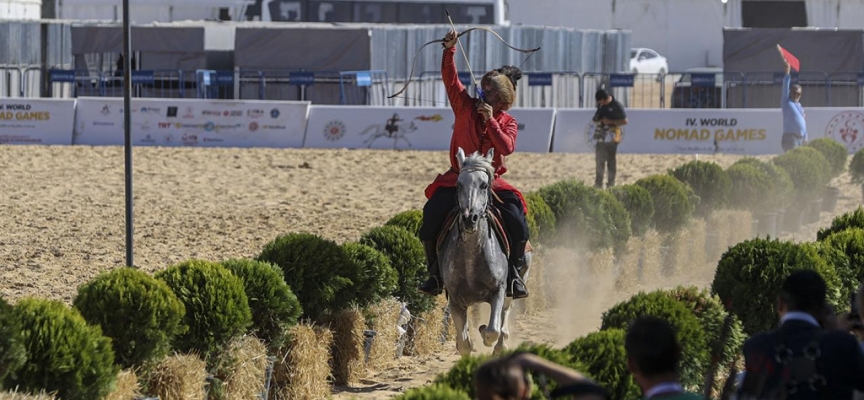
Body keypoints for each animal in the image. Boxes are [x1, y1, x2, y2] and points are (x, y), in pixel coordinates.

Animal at [442, 148, 528, 354]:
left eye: (484, 185)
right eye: (458, 184)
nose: (469, 219)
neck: (471, 258)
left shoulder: (499, 290)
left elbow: (491, 331)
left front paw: (485, 333)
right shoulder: (455, 300)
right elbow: (464, 343)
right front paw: (465, 342)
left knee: (504, 315)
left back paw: (502, 343)